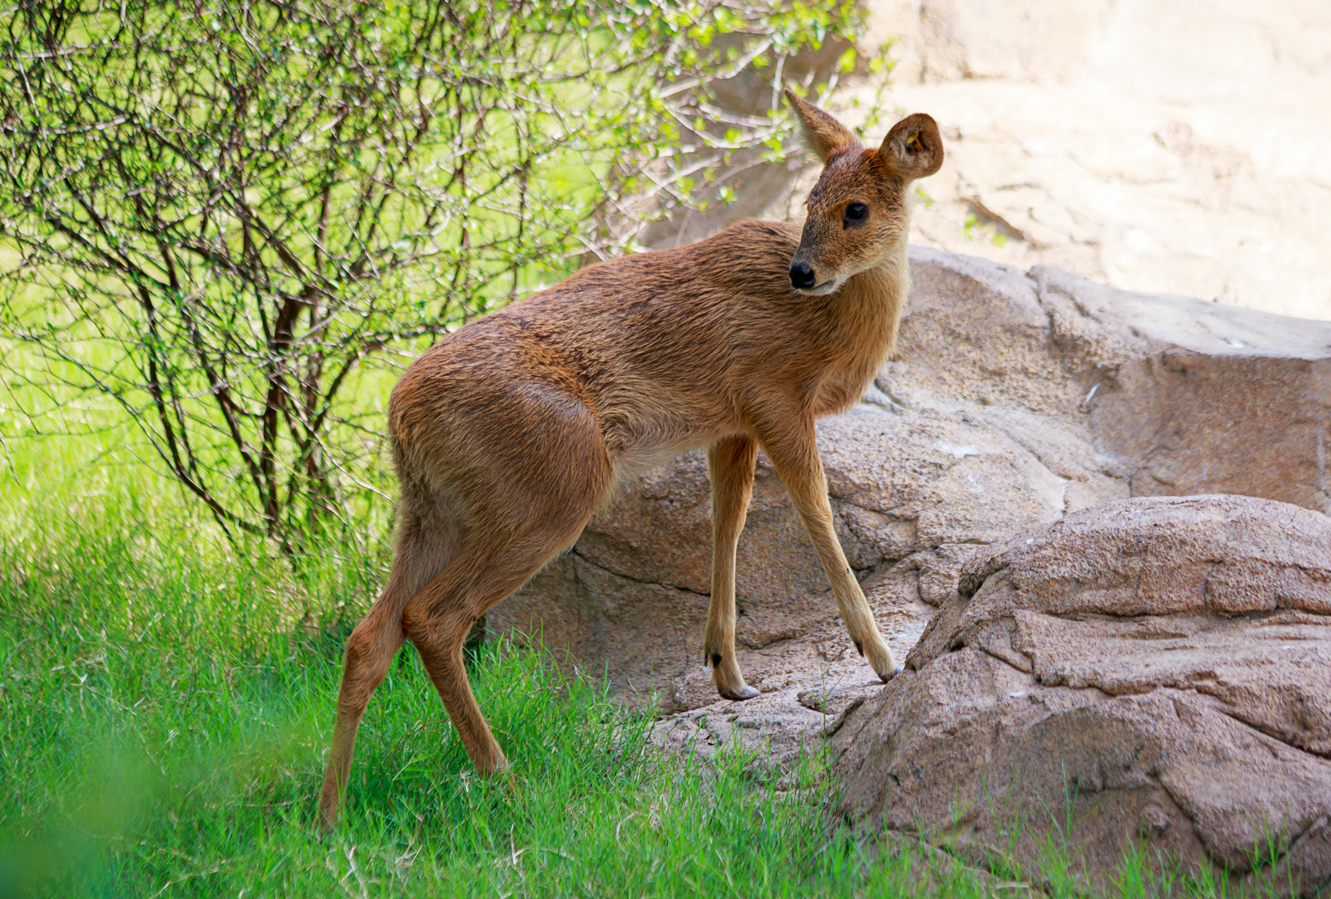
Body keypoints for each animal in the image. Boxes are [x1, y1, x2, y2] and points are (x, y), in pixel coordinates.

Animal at [318, 89, 943, 827]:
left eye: (855, 208)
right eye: (811, 201)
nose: (802, 271)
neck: (831, 324)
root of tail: (401, 413)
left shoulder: (730, 424)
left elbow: (727, 522)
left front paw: (729, 674)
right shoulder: (772, 395)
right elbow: (816, 514)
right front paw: (882, 659)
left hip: (431, 514)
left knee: (368, 636)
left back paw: (329, 816)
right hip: (553, 491)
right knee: (434, 619)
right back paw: (508, 781)